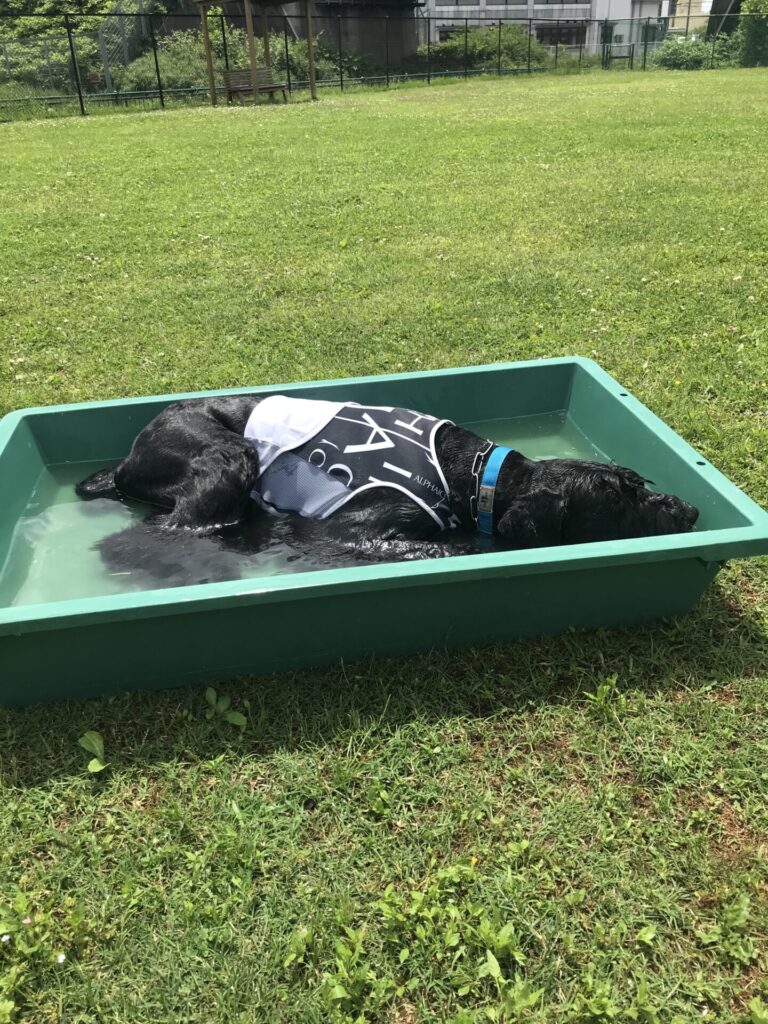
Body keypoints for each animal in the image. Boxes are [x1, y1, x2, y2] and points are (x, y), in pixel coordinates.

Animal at [76, 393, 699, 577]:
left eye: (637, 482)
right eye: (617, 499)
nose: (689, 510)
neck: (477, 474)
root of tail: (125, 461)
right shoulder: (350, 533)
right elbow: (452, 545)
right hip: (228, 454)